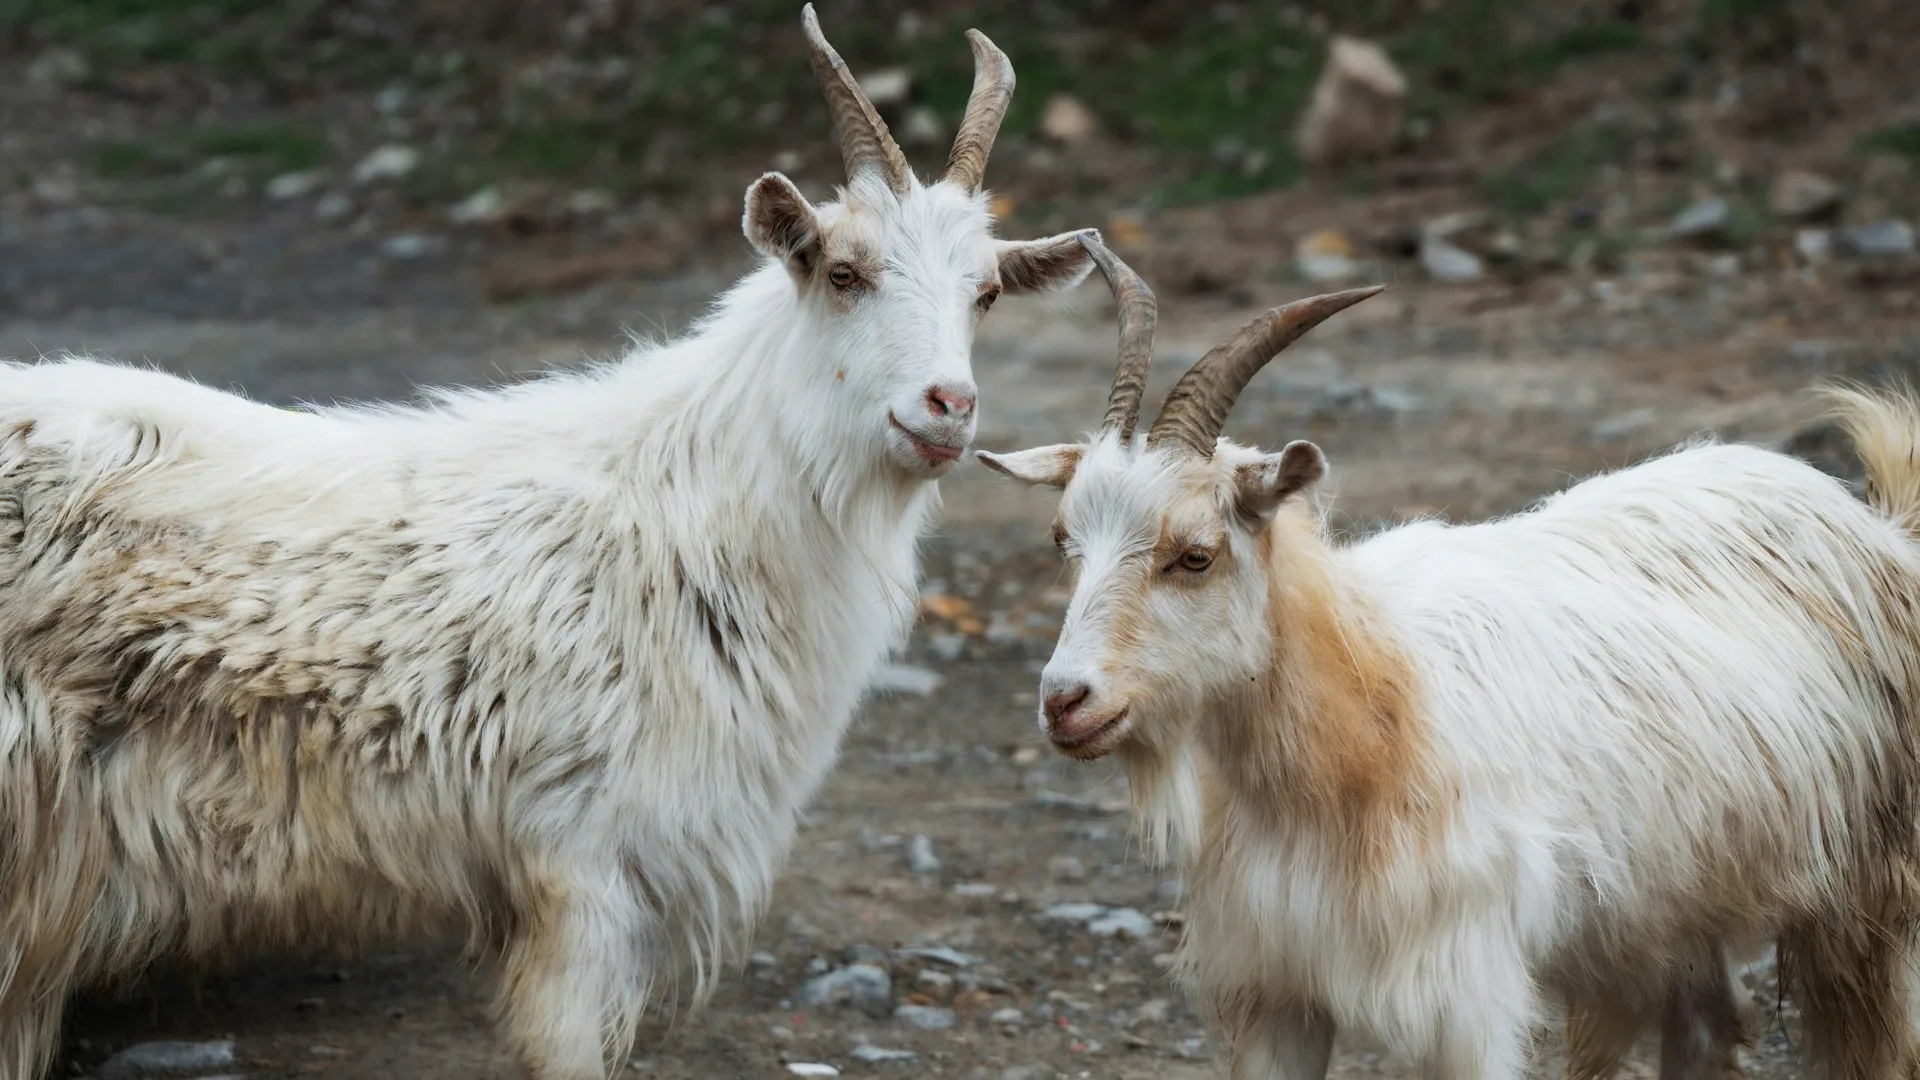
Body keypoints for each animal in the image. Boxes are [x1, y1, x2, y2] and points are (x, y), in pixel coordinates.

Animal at [979, 236, 1920, 1080]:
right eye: (1065, 542)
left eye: (1196, 555)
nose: (1064, 700)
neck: (1363, 715)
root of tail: (1871, 523)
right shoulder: (1276, 987)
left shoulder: (1466, 992)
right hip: (1674, 907)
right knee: (1703, 1027)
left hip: (1869, 895)